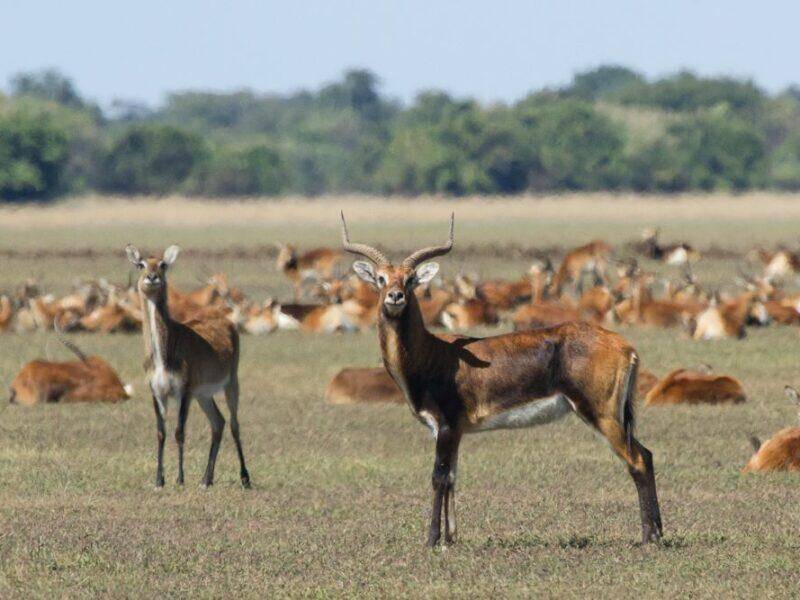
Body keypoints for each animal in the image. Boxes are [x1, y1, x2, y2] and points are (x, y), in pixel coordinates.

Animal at [125, 244, 251, 489]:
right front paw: (159, 480)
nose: (151, 277)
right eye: (140, 264)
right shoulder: (157, 392)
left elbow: (179, 432)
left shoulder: (184, 391)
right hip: (203, 395)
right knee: (218, 423)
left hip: (231, 384)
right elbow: (161, 432)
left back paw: (245, 478)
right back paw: (206, 479)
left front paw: (180, 478)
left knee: (234, 424)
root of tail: (227, 320)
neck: (165, 353)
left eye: (163, 264)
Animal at [340, 212, 662, 547]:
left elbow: (438, 477)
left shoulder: (446, 426)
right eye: (381, 278)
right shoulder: (452, 431)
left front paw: (432, 539)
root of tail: (625, 346)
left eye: (411, 278)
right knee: (647, 455)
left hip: (601, 414)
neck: (432, 354)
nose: (395, 296)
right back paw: (657, 533)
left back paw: (648, 538)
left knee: (637, 461)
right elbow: (452, 477)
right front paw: (450, 539)